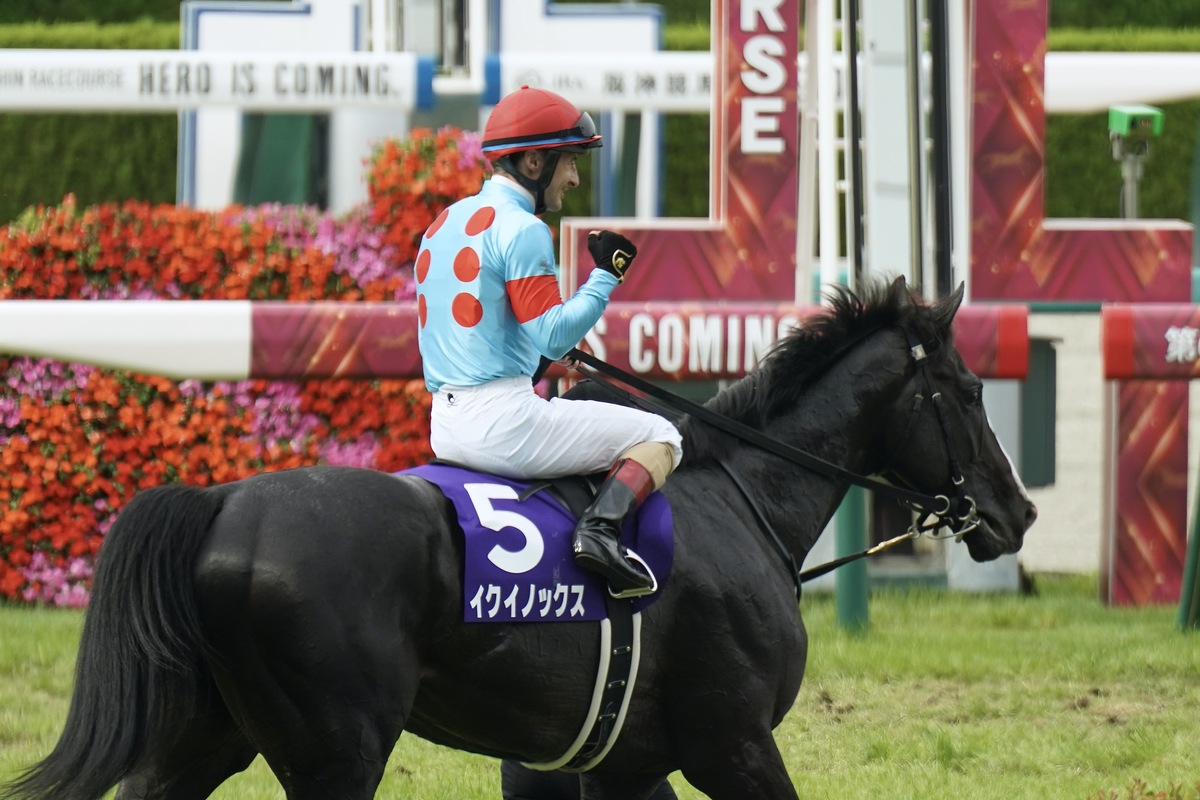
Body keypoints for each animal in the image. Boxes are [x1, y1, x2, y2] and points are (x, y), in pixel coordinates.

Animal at [2, 279, 1035, 800]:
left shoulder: (625, 767)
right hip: (335, 752)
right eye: (970, 390)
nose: (1017, 513)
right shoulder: (734, 744)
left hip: (202, 738)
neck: (740, 497)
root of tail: (220, 505)